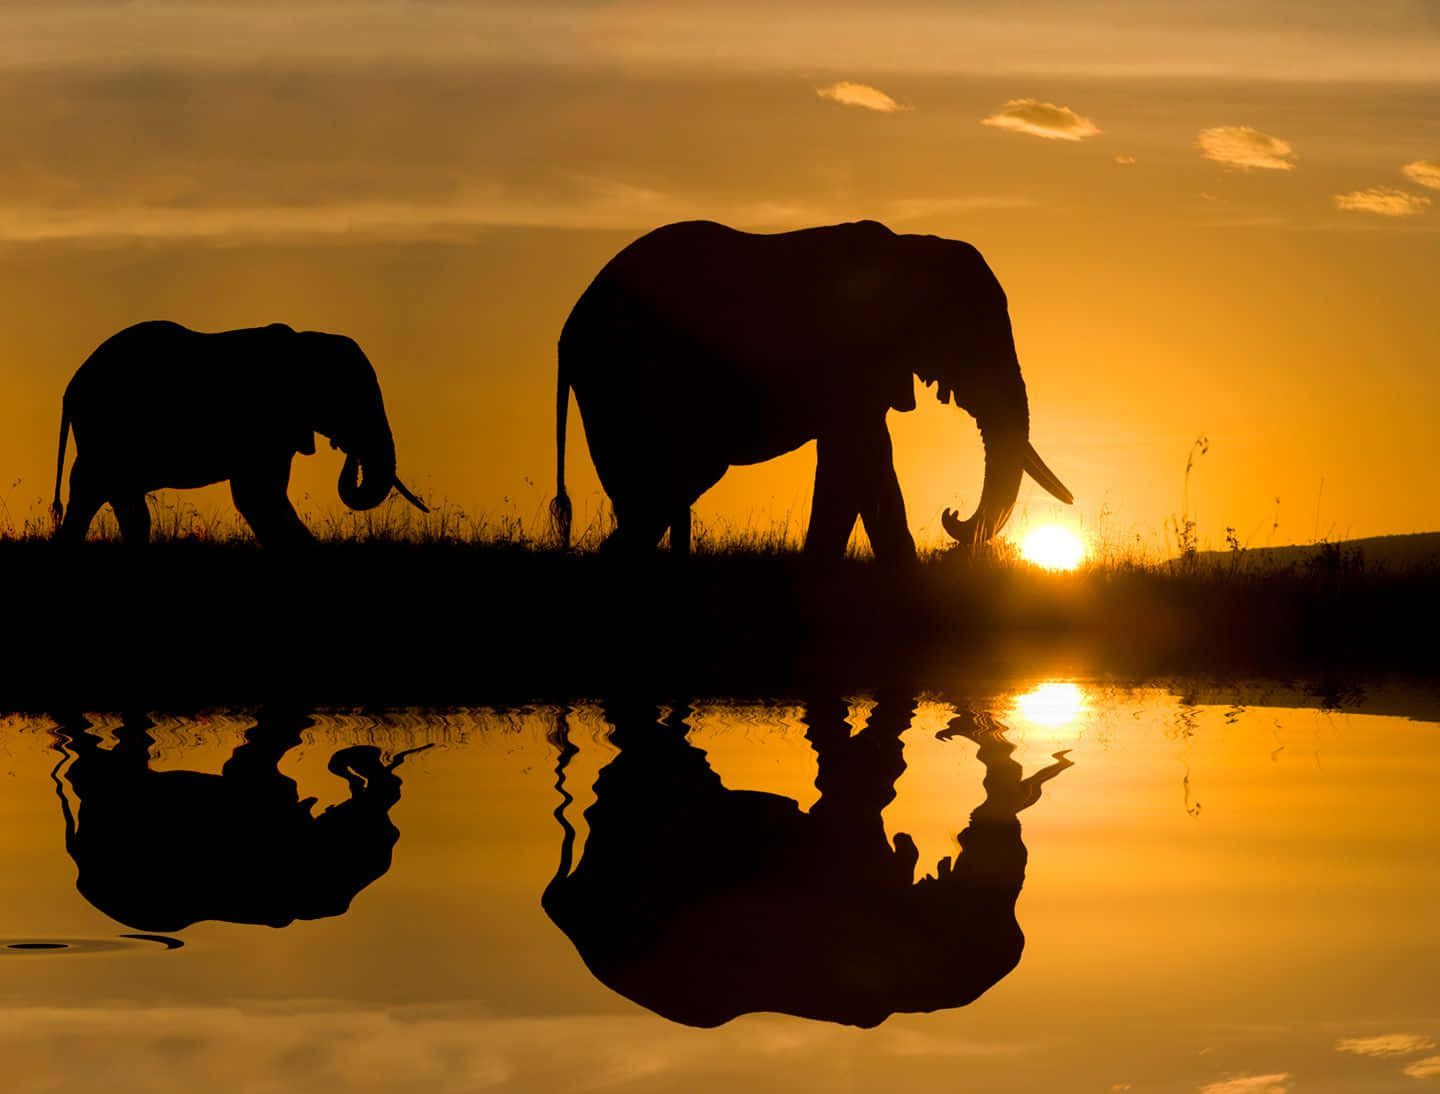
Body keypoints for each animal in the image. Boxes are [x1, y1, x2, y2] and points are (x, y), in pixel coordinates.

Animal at [51, 321, 427, 546]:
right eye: (350, 397)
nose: (346, 448)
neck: (302, 343)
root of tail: (70, 387)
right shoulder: (264, 422)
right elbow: (258, 495)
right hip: (107, 430)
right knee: (100, 491)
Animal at [550, 220, 1073, 559]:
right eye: (966, 338)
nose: (951, 513)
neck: (908, 248)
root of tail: (567, 332)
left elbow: (860, 463)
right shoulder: (850, 358)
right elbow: (859, 458)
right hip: (620, 378)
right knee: (659, 490)